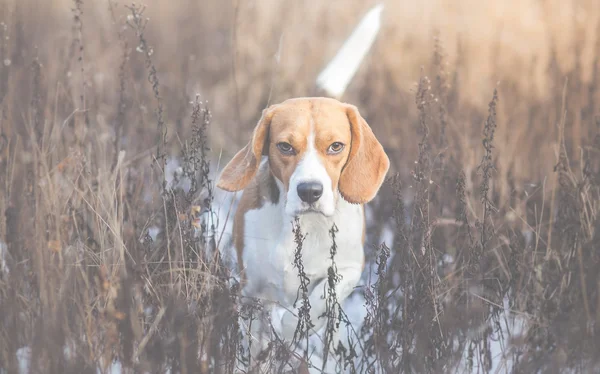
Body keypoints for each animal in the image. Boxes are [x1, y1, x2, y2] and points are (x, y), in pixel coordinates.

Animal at [216, 96, 390, 372]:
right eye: (285, 147)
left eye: (336, 146)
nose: (309, 191)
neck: (304, 224)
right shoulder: (251, 289)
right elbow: (254, 343)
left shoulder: (349, 269)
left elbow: (316, 304)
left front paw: (289, 331)